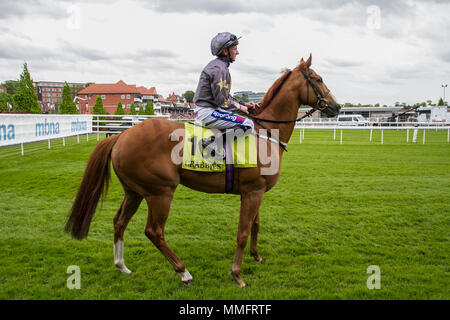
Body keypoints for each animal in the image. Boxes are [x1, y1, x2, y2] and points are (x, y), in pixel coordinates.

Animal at [64, 54, 342, 288]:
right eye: (318, 79)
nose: (336, 107)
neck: (265, 132)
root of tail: (121, 136)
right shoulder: (252, 192)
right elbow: (243, 232)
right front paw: (237, 275)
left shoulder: (257, 191)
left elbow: (256, 225)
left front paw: (257, 257)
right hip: (160, 192)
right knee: (154, 231)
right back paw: (183, 272)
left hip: (134, 191)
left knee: (119, 221)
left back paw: (122, 265)